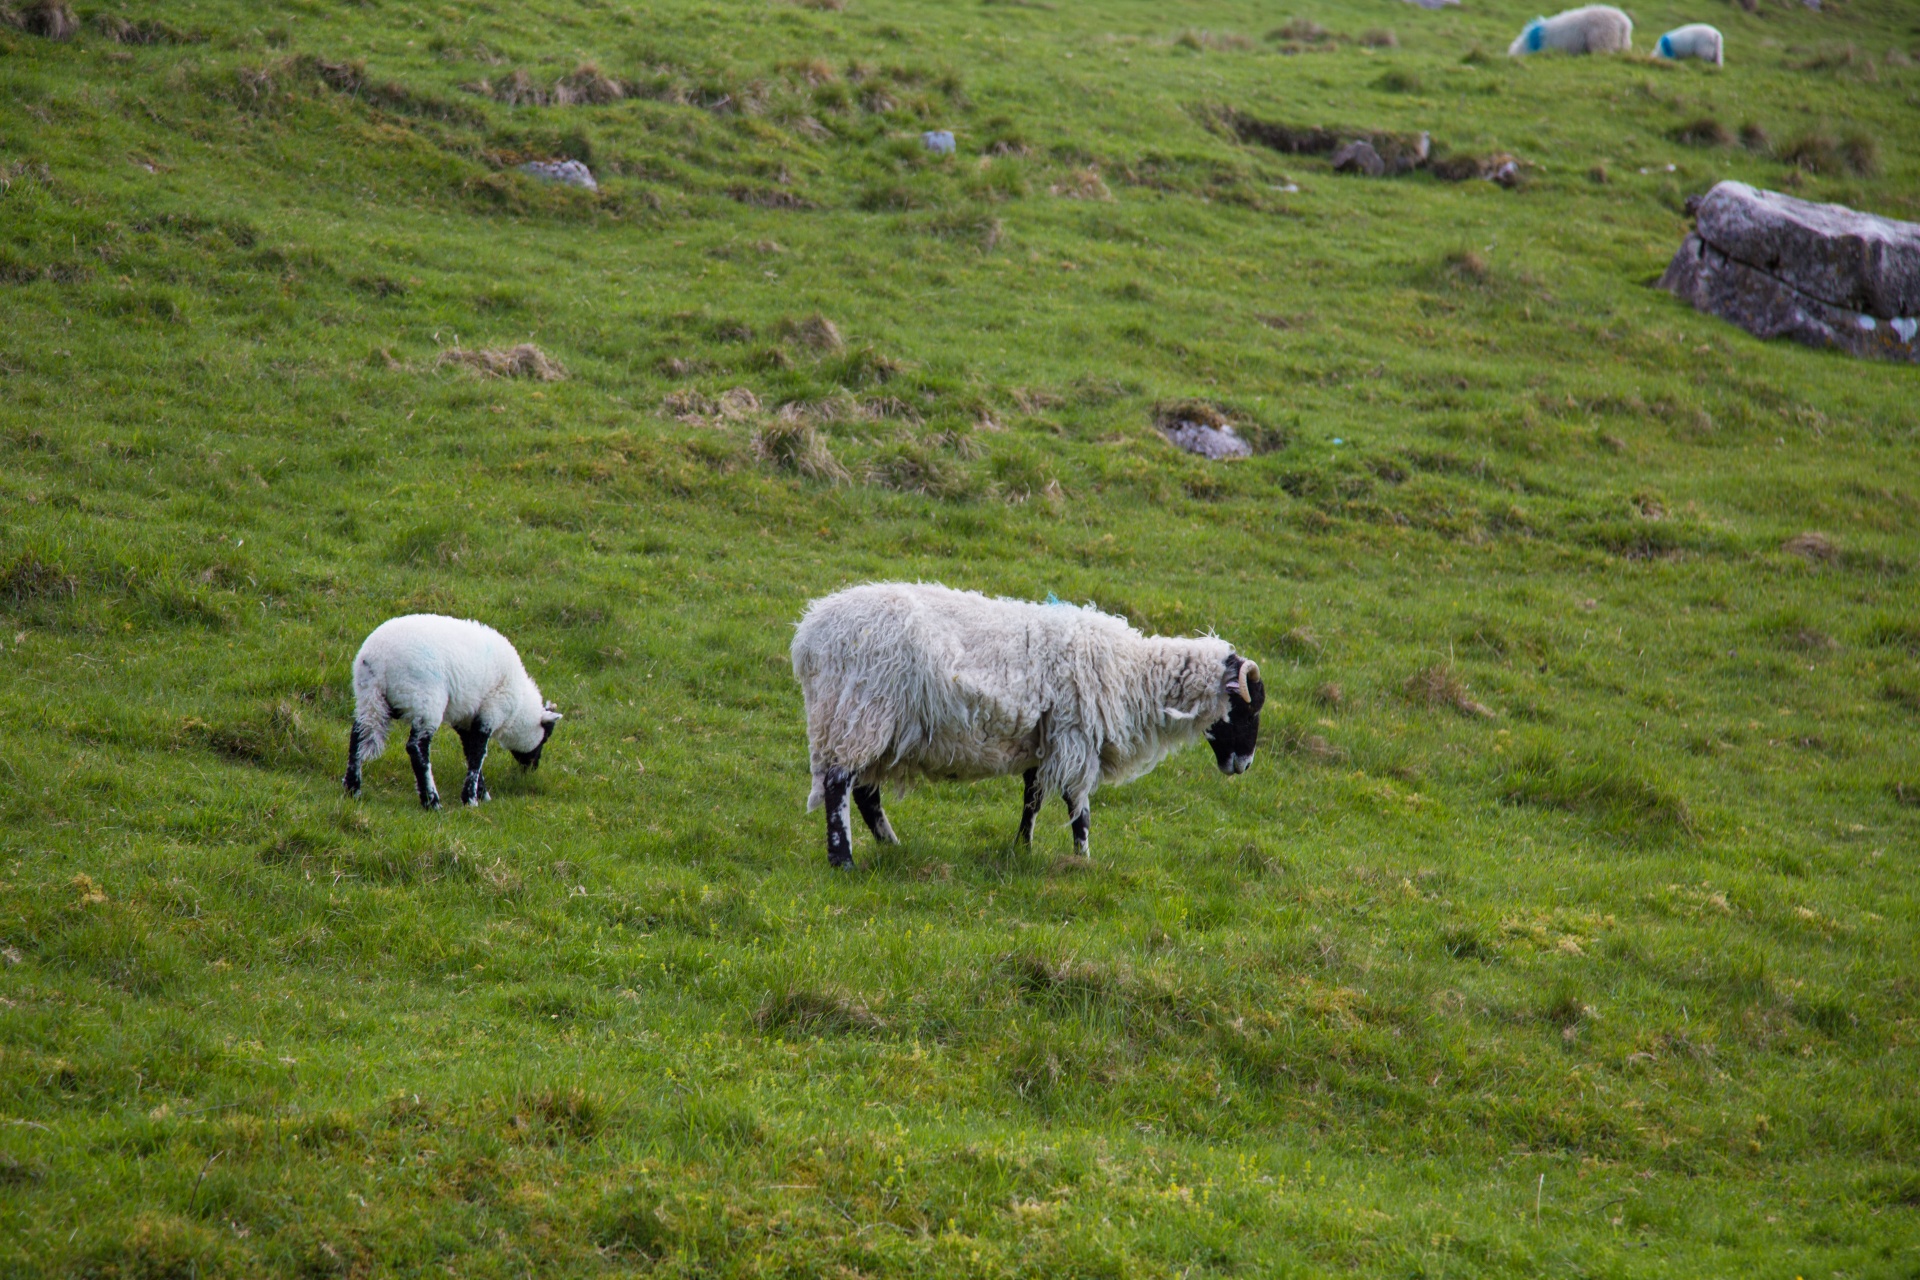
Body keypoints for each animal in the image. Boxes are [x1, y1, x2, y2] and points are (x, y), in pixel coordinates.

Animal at [343, 614, 560, 809]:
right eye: (546, 737)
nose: (533, 767)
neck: (519, 707)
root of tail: (377, 659)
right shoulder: (491, 712)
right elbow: (478, 755)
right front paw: (471, 799)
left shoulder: (464, 718)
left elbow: (470, 752)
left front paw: (481, 794)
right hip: (425, 700)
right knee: (416, 748)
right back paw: (432, 801)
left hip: (369, 699)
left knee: (357, 736)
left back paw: (353, 790)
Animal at [779, 583, 1259, 871]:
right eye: (1249, 709)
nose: (1245, 765)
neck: (1133, 673)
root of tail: (808, 635)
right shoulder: (1075, 735)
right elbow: (1077, 804)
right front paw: (1083, 857)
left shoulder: (1044, 738)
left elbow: (1032, 797)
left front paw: (1022, 848)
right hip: (859, 711)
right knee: (839, 784)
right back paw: (843, 859)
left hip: (865, 723)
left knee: (864, 793)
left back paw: (892, 846)